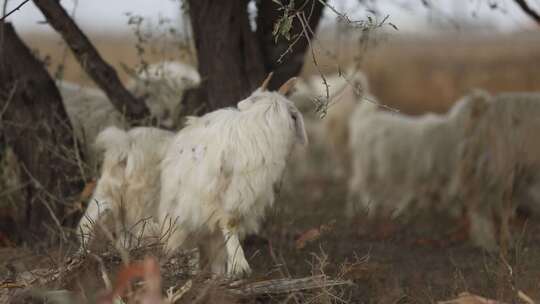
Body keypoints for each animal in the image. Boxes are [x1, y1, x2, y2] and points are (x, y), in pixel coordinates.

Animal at [158, 75, 306, 276]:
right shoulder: (230, 194)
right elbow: (230, 224)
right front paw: (240, 266)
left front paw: (231, 267)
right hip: (180, 212)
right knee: (178, 239)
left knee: (209, 243)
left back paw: (213, 272)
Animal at [346, 90, 494, 218]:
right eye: (485, 105)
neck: (453, 130)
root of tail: (363, 120)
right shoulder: (430, 169)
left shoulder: (436, 172)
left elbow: (438, 193)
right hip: (366, 163)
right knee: (359, 185)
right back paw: (363, 209)